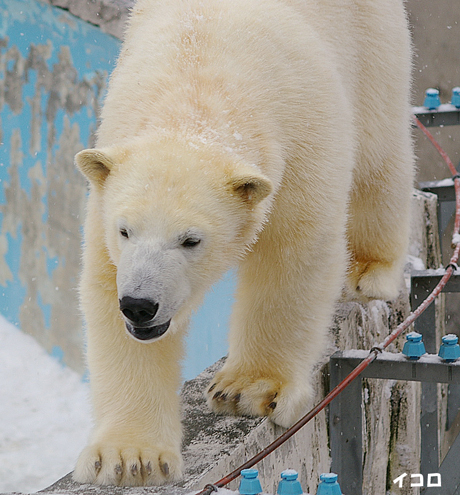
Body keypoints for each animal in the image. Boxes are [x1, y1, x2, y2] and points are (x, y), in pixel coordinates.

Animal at [72, 0, 414, 488]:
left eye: (191, 240)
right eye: (125, 231)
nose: (139, 306)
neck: (197, 93)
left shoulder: (297, 138)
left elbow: (294, 253)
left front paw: (248, 390)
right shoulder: (108, 187)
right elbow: (103, 283)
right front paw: (129, 456)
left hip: (374, 46)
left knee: (377, 151)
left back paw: (370, 270)